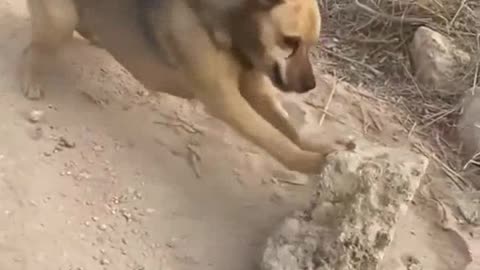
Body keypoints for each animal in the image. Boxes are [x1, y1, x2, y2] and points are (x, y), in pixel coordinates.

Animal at [20, 0, 350, 173]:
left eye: (310, 44)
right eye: (289, 41)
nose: (309, 86)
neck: (234, 26)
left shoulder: (257, 90)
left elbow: (289, 128)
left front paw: (322, 146)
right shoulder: (225, 100)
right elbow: (274, 139)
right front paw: (310, 163)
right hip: (61, 20)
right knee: (34, 49)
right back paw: (31, 78)